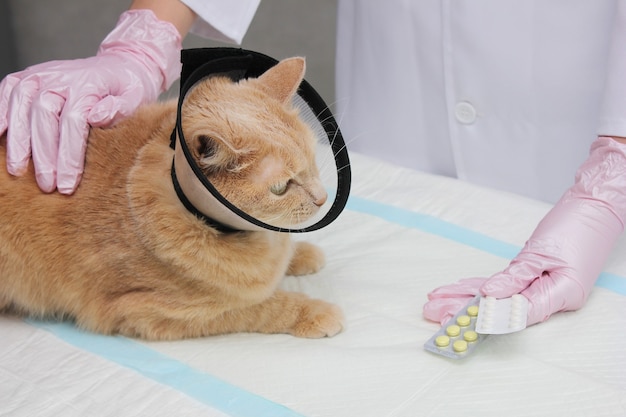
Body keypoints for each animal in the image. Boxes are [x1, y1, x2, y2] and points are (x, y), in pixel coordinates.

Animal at [0, 57, 344, 340]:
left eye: (312, 159)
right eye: (281, 187)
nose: (322, 199)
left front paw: (302, 254)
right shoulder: (156, 310)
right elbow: (260, 308)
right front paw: (314, 312)